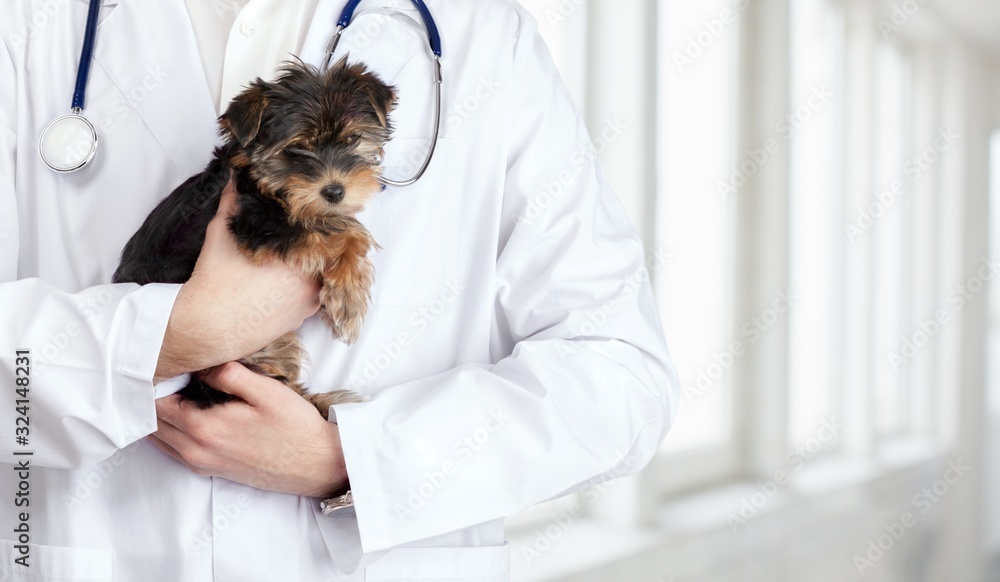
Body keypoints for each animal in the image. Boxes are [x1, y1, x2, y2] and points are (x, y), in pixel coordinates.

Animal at [113, 58, 394, 420]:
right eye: (295, 150)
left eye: (352, 139)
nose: (334, 191)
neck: (266, 182)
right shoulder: (256, 224)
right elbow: (341, 232)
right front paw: (349, 300)